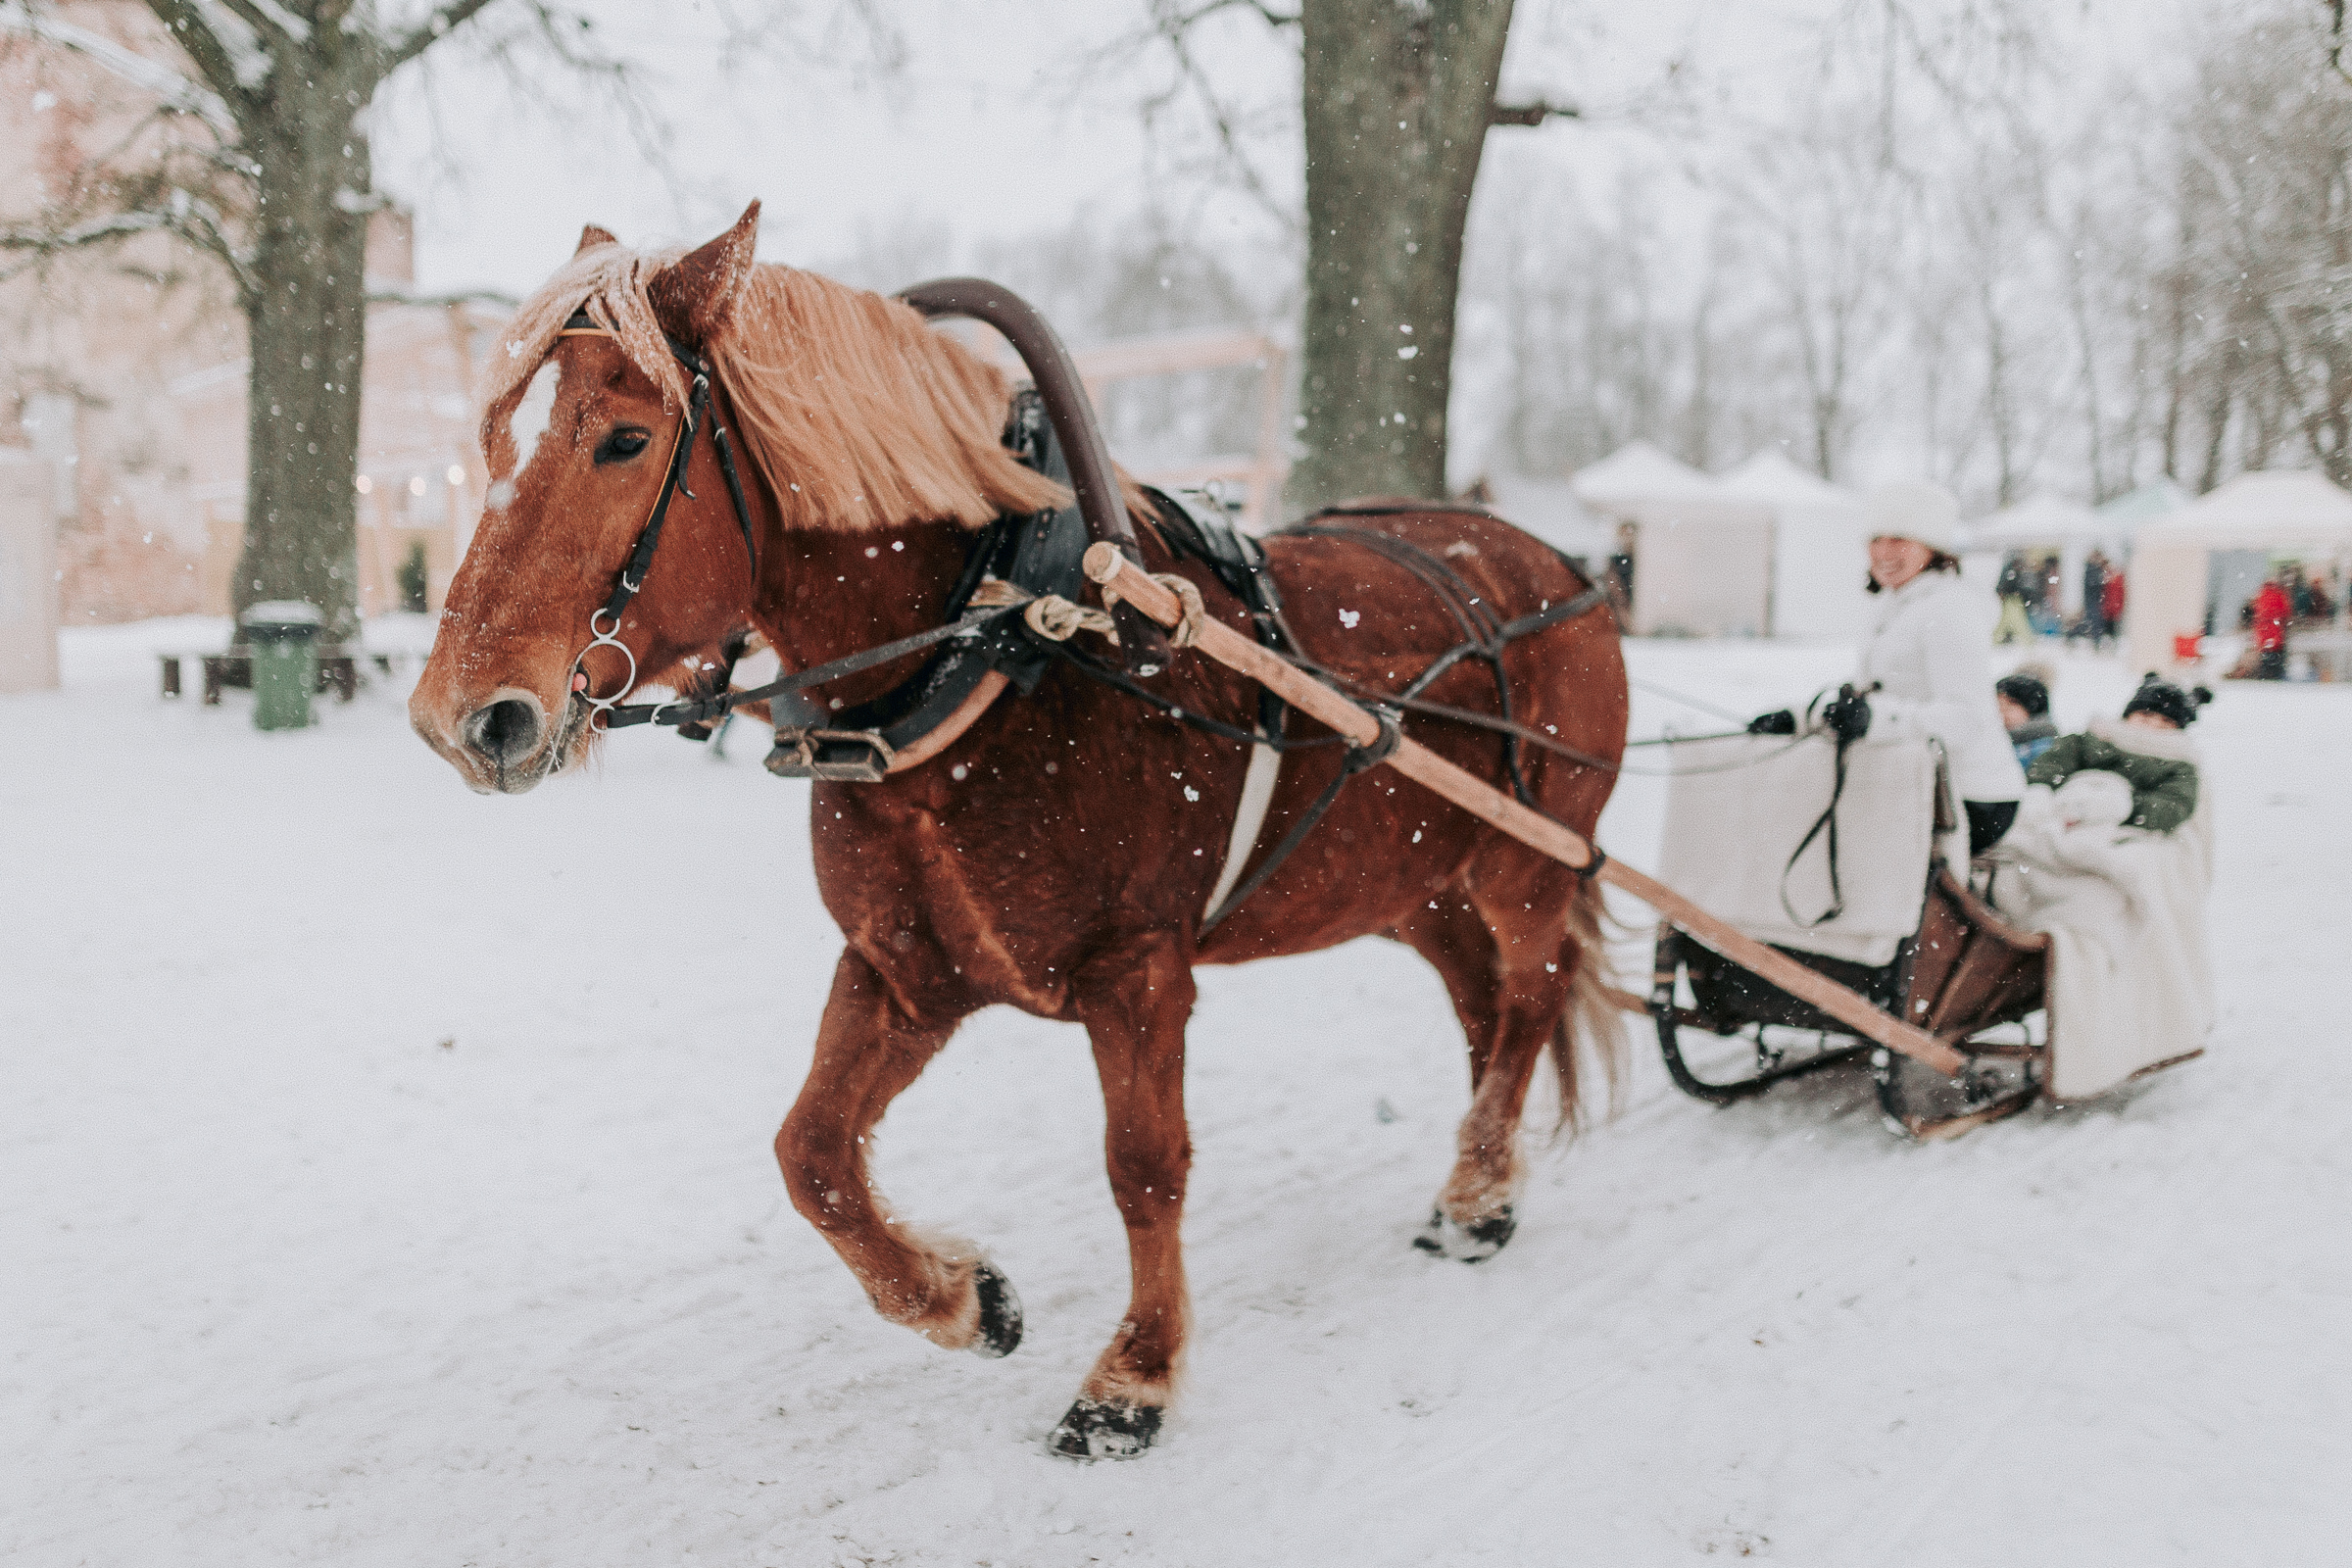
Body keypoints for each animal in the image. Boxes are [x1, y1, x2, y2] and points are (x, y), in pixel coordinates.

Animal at [414, 202, 1627, 1466]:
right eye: (493, 436)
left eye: (625, 438)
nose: (464, 716)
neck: (1004, 641)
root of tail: (1568, 568)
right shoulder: (907, 966)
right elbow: (813, 1154)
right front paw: (962, 1299)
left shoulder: (1138, 969)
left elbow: (1145, 1166)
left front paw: (1133, 1375)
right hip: (1410, 886)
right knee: (1486, 1006)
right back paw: (1483, 1174)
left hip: (1527, 863)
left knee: (1532, 991)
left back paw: (1478, 1191)